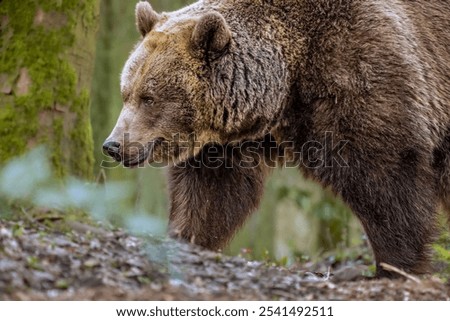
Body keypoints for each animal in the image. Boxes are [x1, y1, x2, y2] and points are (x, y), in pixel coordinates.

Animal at [103, 0, 450, 278]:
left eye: (149, 97)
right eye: (126, 93)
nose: (113, 145)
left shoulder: (362, 71)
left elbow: (385, 179)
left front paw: (397, 266)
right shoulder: (228, 142)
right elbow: (210, 193)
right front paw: (186, 237)